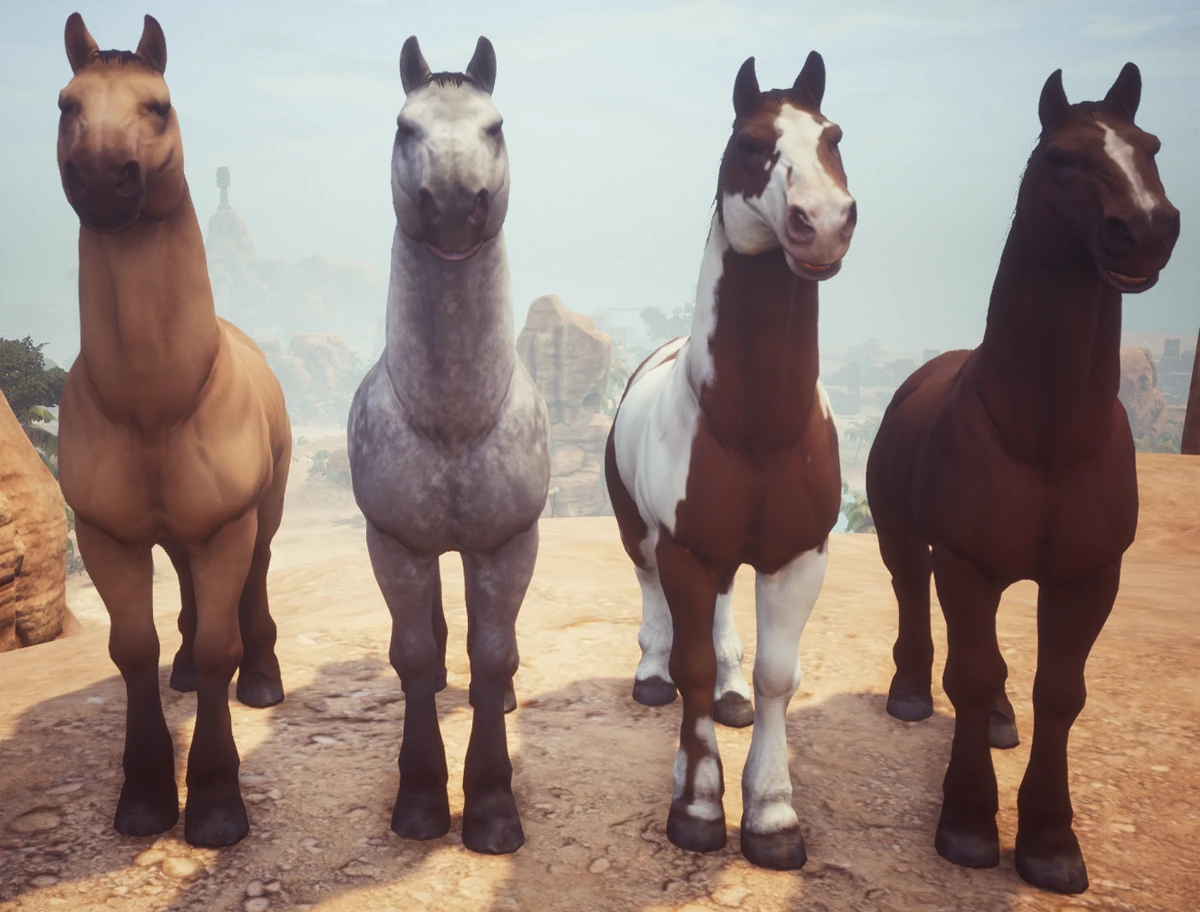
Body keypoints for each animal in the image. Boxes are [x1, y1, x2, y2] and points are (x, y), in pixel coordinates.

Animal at [54, 14, 293, 848]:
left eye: (156, 106)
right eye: (67, 105)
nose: (101, 180)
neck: (153, 405)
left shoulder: (226, 526)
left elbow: (223, 641)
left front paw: (218, 802)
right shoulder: (105, 535)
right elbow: (133, 650)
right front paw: (147, 795)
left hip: (260, 515)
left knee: (253, 581)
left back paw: (262, 680)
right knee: (185, 589)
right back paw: (184, 672)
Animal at [605, 52, 856, 870]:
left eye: (833, 136)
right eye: (751, 144)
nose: (824, 222)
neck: (755, 428)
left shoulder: (798, 556)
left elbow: (780, 675)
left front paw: (773, 813)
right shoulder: (684, 549)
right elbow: (687, 664)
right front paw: (697, 805)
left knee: (720, 616)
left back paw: (732, 693)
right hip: (641, 533)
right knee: (654, 598)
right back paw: (654, 678)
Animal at [866, 64, 1179, 894]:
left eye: (1150, 146)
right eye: (1062, 159)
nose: (1149, 229)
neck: (1047, 438)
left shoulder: (1092, 574)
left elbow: (1060, 692)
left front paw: (1050, 842)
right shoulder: (965, 561)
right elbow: (971, 673)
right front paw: (969, 825)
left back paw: (1003, 721)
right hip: (903, 535)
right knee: (912, 594)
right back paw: (911, 695)